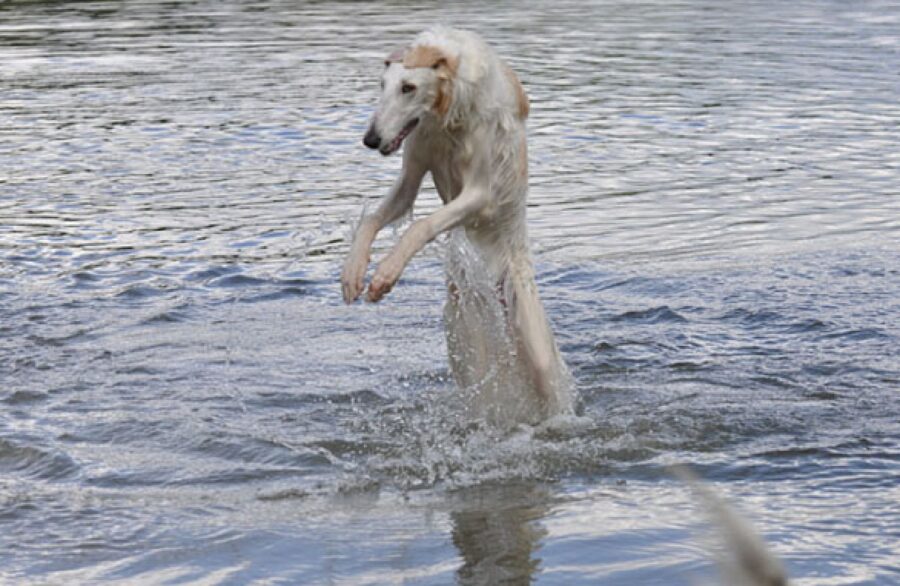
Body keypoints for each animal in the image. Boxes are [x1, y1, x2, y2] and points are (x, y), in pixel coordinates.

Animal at [342, 27, 572, 424]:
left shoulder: (481, 194)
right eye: (382, 85)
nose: (370, 139)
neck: (449, 114)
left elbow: (422, 225)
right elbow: (372, 220)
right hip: (463, 333)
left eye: (408, 87)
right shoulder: (411, 176)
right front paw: (354, 272)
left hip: (538, 352)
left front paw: (386, 274)